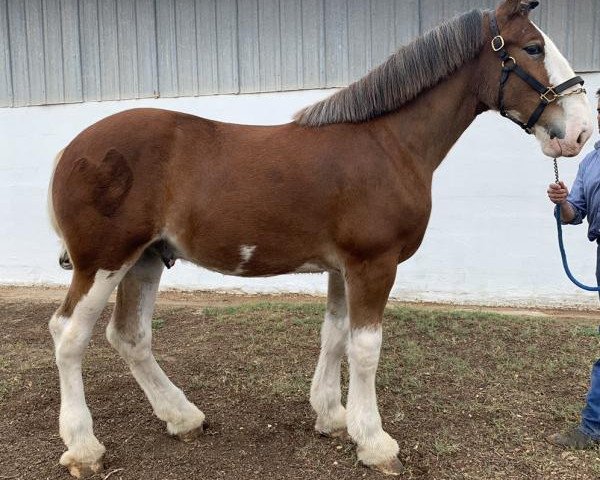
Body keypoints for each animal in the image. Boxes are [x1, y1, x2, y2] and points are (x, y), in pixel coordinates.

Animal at [47, 0, 592, 476]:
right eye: (533, 48)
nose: (582, 132)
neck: (388, 144)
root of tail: (72, 150)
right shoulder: (374, 264)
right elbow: (365, 347)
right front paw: (375, 443)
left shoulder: (341, 268)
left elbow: (334, 335)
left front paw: (332, 417)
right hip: (104, 261)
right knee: (69, 335)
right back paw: (84, 447)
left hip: (144, 260)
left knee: (130, 337)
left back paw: (182, 418)